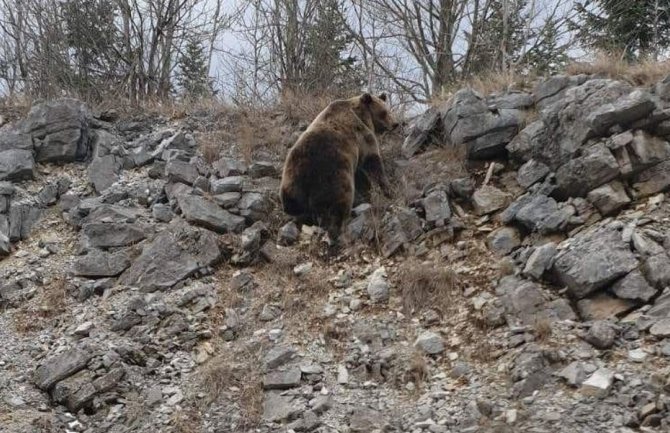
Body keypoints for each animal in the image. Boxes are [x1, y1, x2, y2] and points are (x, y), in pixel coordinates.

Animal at [280, 92, 400, 245]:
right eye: (384, 112)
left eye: (388, 110)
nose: (395, 124)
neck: (363, 116)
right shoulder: (363, 139)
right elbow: (373, 163)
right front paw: (388, 189)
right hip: (332, 177)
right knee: (339, 204)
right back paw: (340, 232)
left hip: (291, 184)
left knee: (296, 209)